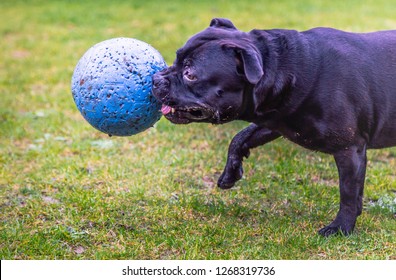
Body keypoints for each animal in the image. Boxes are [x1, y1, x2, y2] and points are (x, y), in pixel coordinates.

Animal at [153, 18, 396, 236]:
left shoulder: (349, 149)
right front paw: (230, 173)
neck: (283, 67)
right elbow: (239, 138)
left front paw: (341, 227)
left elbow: (348, 192)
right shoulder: (275, 121)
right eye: (176, 58)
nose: (156, 79)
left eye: (190, 74)